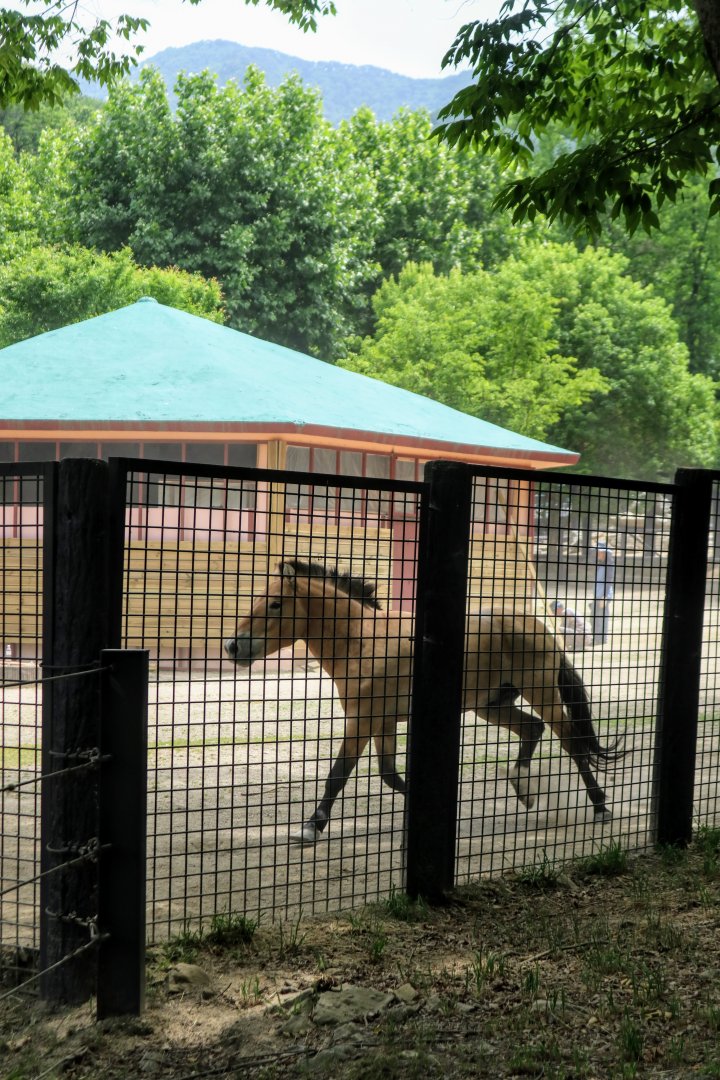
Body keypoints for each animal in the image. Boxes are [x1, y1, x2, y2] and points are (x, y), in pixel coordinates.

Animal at [224, 559, 622, 844]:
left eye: (275, 604)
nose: (232, 646)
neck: (361, 641)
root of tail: (541, 628)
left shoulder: (362, 721)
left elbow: (338, 776)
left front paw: (310, 828)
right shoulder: (381, 722)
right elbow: (390, 775)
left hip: (542, 694)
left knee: (572, 743)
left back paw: (600, 807)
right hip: (491, 705)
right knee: (533, 729)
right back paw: (523, 787)